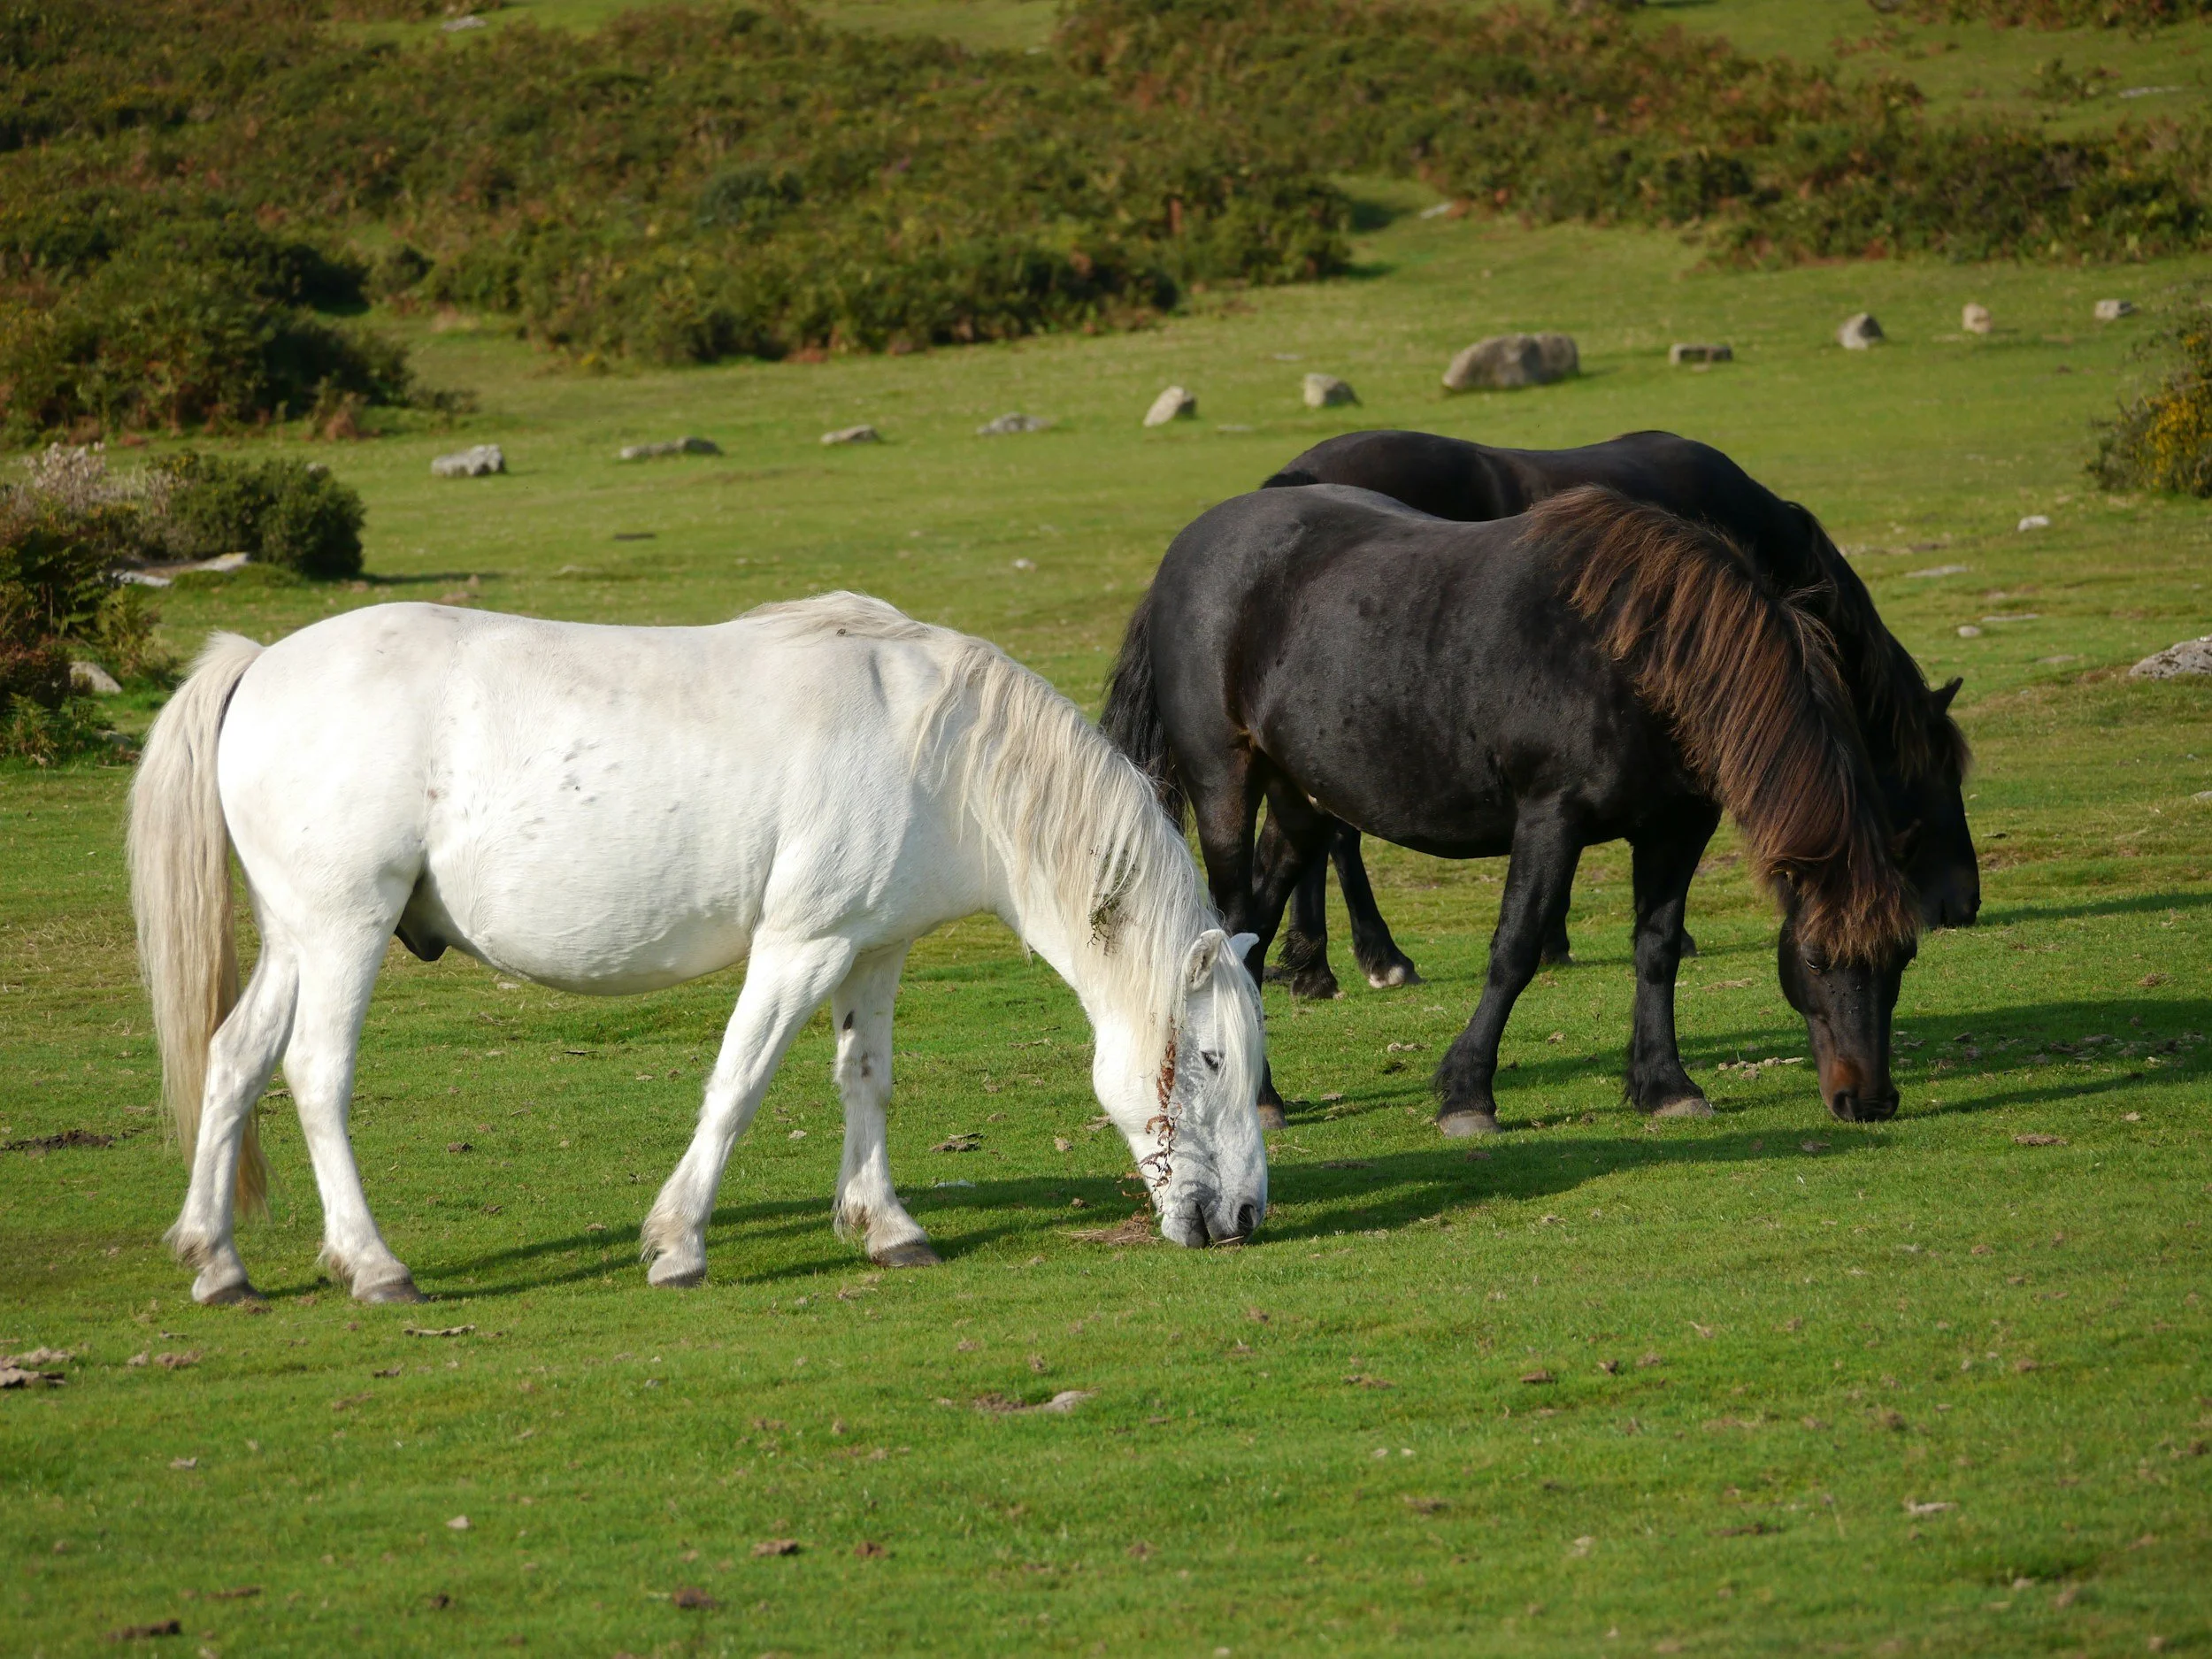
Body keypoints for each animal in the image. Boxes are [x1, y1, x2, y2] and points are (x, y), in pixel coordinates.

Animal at [129, 593, 1267, 1307]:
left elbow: (867, 1084)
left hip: (296, 940)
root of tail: (261, 664)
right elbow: (738, 1086)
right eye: (1211, 1060)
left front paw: (887, 1227)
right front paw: (679, 1244)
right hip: (344, 932)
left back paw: (218, 1263)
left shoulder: (872, 953)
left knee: (234, 1063)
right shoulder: (799, 947)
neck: (939, 749)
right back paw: (373, 1266)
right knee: (317, 1075)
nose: (1247, 1217)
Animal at [1101, 484, 1920, 1136]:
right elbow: (1516, 948)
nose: (1869, 1100)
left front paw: (1665, 1084)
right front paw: (1468, 1094)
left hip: (1299, 802)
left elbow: (1657, 948)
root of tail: (1185, 554)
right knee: (1226, 927)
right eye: (1813, 956)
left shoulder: (1678, 827)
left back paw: (1263, 1093)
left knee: (1255, 931)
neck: (1638, 652)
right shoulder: (1552, 818)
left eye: (1904, 955)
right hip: (1225, 787)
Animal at [1245, 428, 1974, 999]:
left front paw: (1556, 937)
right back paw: (1375, 956)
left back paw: (1312, 966)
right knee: (1339, 837)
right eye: (1943, 777)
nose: (1965, 902)